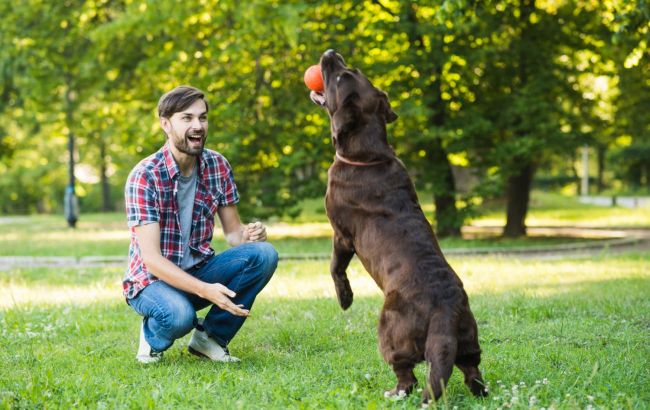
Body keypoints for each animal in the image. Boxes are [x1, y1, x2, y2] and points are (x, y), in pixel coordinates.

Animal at [310, 49, 486, 402]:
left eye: (340, 76)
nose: (331, 52)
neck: (368, 155)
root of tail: (445, 310)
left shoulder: (342, 235)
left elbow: (335, 267)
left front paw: (345, 299)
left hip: (390, 329)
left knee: (407, 375)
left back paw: (394, 392)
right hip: (469, 338)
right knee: (471, 369)